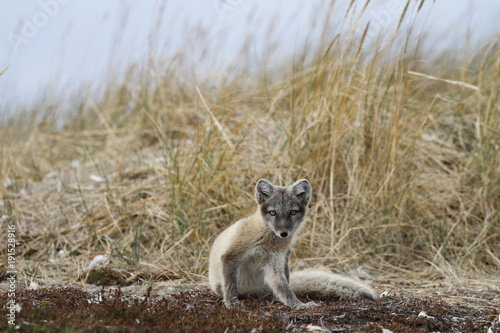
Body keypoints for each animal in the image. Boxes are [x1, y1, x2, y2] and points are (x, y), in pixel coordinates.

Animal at [207, 179, 376, 308]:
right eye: (273, 213)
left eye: (293, 212)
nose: (284, 233)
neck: (268, 242)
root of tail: (251, 287)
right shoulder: (231, 255)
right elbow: (230, 286)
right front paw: (232, 304)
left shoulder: (274, 264)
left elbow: (285, 290)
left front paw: (298, 305)